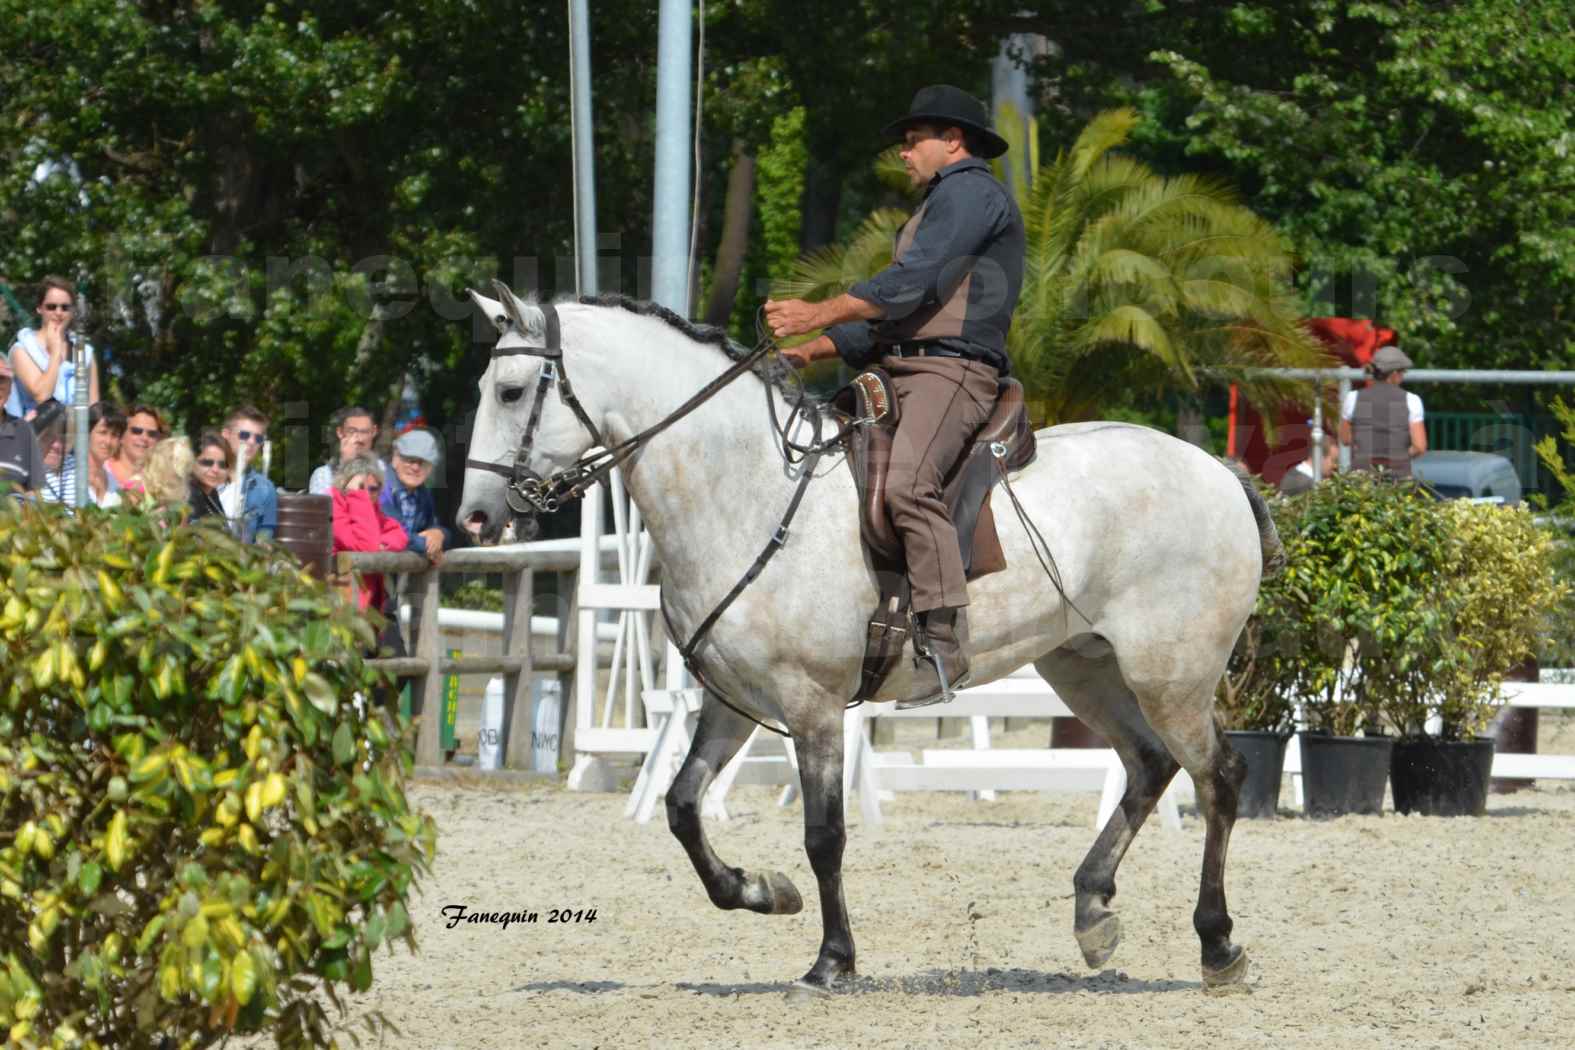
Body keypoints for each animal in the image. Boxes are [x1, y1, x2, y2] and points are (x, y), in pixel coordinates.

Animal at [453, 288, 1278, 994]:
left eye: (512, 392)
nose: (475, 517)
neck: (744, 489)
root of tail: (1217, 471)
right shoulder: (731, 702)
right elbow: (683, 806)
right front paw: (761, 891)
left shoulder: (810, 706)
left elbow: (824, 835)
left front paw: (832, 959)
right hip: (1083, 667)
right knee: (1148, 766)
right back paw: (1092, 912)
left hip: (1170, 676)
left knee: (1217, 778)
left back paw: (1216, 945)